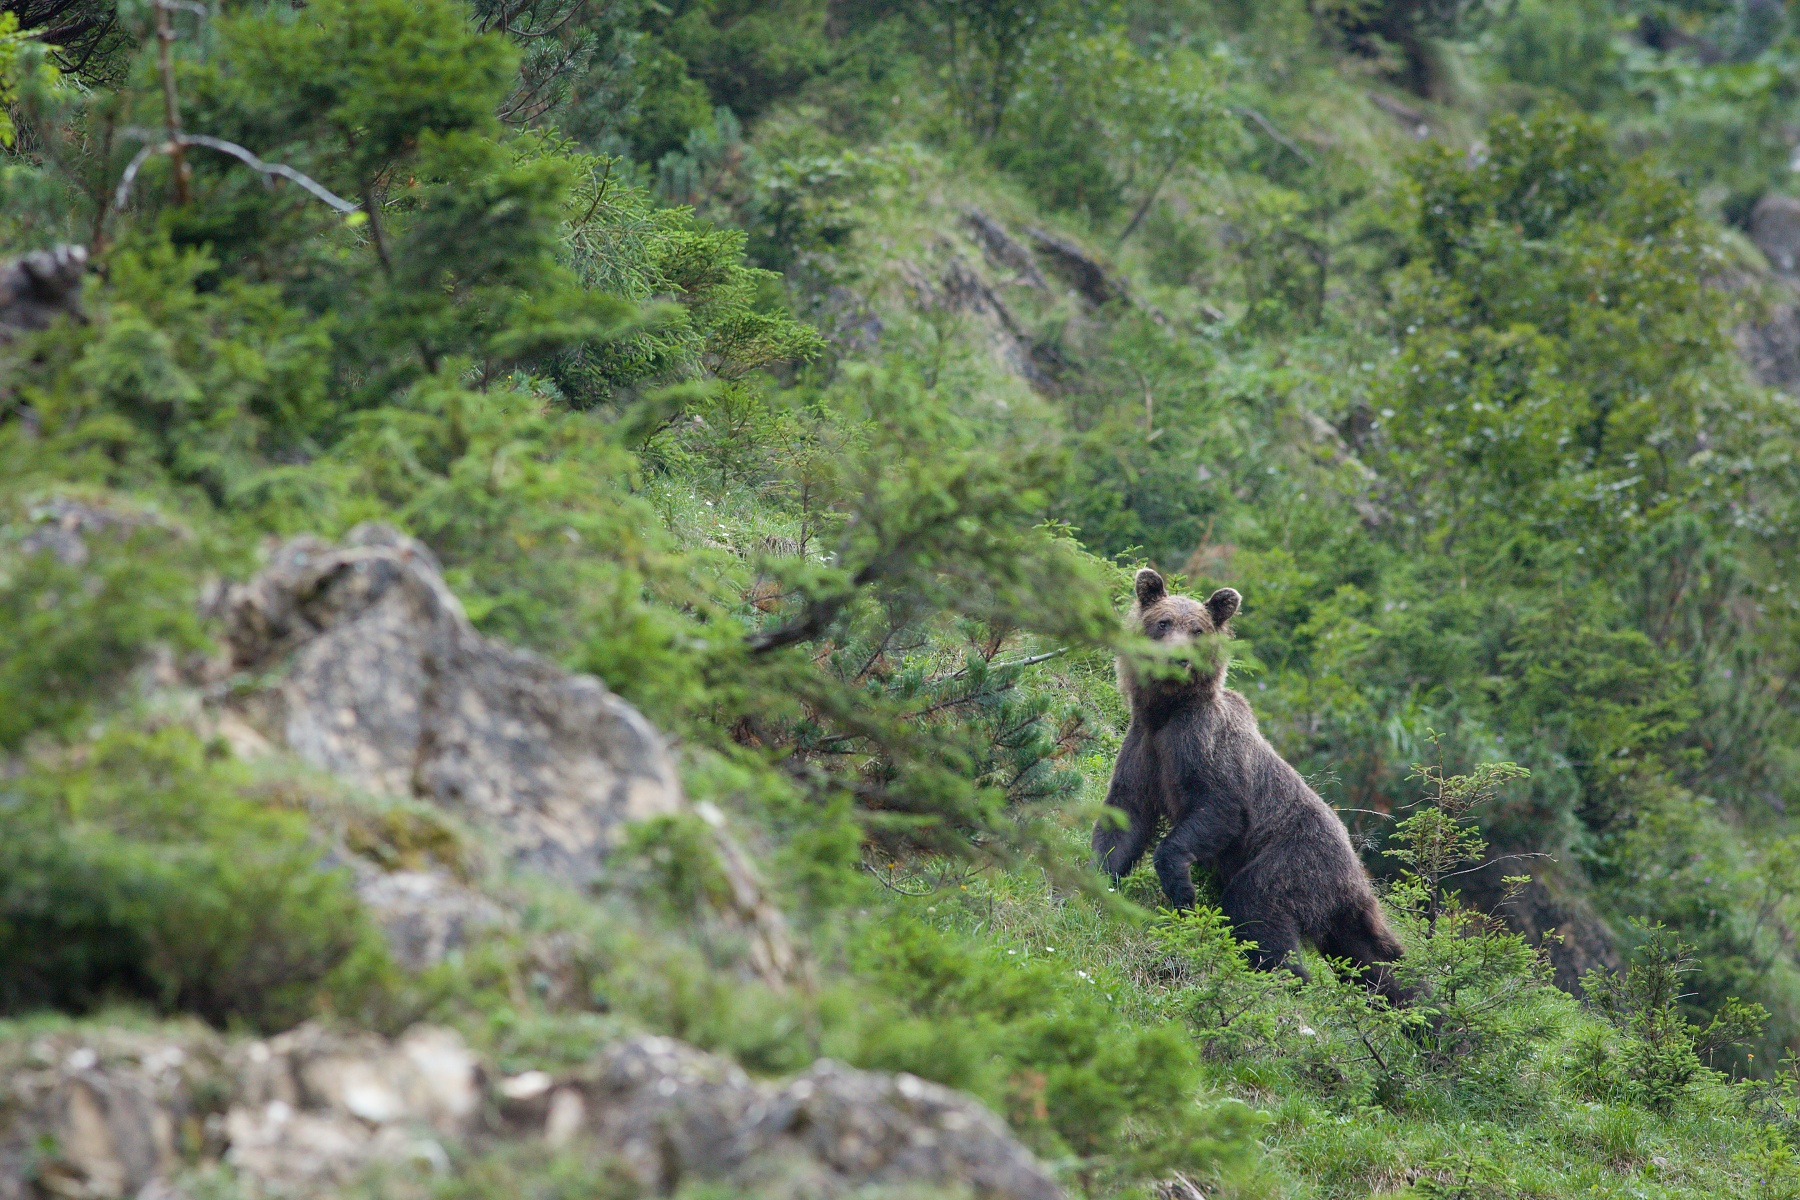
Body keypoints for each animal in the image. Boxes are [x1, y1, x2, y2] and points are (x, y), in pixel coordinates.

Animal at [1087, 568, 1411, 1000]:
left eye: (1198, 630)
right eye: (1163, 622)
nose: (1178, 659)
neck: (1166, 711)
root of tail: (1356, 871)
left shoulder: (1203, 746)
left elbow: (1218, 808)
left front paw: (1182, 890)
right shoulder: (1144, 748)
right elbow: (1125, 817)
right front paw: (1098, 877)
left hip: (1293, 859)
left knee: (1256, 907)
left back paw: (1283, 980)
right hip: (1339, 906)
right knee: (1373, 959)